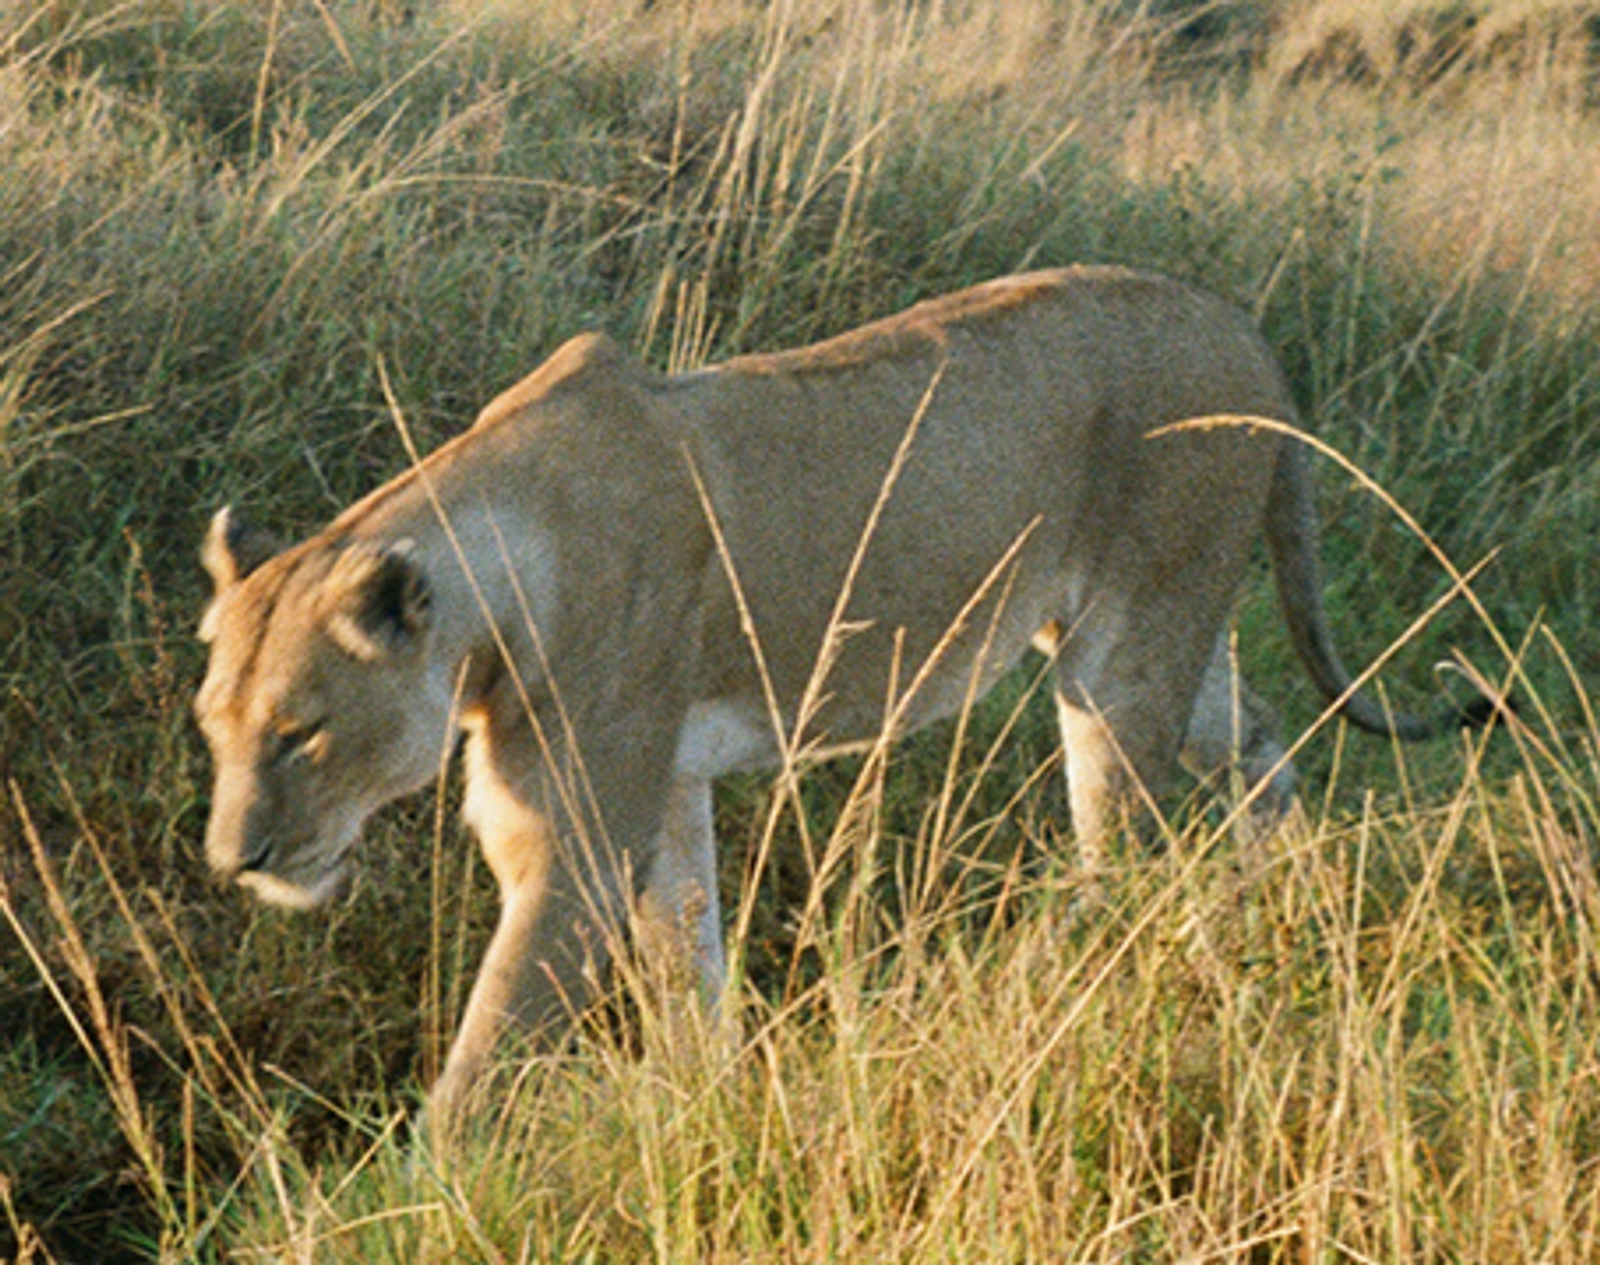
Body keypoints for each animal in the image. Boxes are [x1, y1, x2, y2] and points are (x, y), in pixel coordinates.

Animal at [195, 265, 1480, 1123]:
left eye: (300, 731)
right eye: (214, 726)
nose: (231, 861)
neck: (493, 567)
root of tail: (1237, 321)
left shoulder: (571, 840)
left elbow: (487, 1050)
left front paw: (423, 1195)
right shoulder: (666, 787)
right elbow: (689, 967)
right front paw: (707, 1109)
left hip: (1124, 662)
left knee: (1125, 859)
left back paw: (1050, 983)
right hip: (1162, 638)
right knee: (1261, 741)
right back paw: (1290, 912)